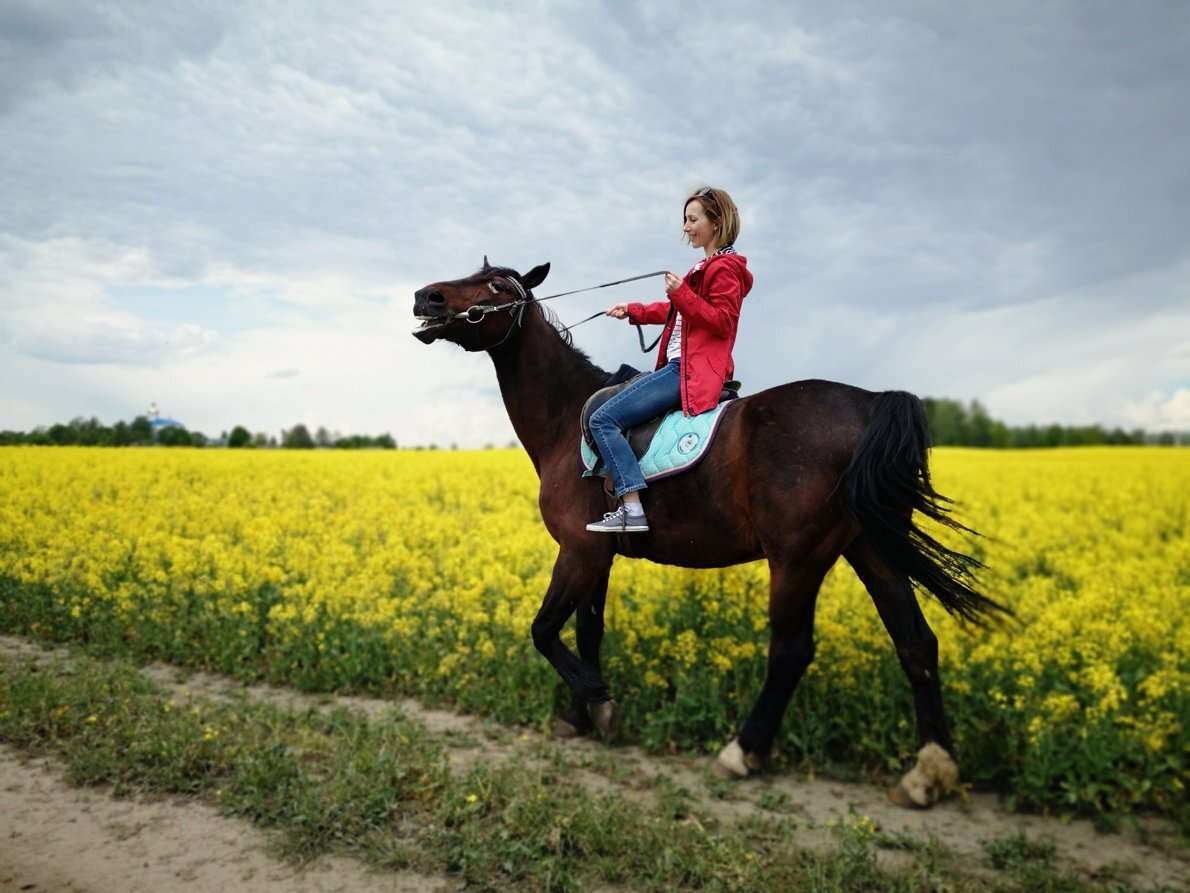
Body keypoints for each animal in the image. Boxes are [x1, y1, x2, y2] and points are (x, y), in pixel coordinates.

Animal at [414, 258, 1009, 809]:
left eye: (496, 286)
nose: (426, 296)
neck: (566, 418)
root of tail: (868, 402)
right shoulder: (596, 552)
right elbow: (585, 632)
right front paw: (584, 716)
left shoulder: (579, 551)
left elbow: (543, 631)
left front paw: (597, 698)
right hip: (871, 548)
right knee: (916, 643)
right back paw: (928, 773)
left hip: (798, 559)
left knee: (791, 651)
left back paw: (742, 752)